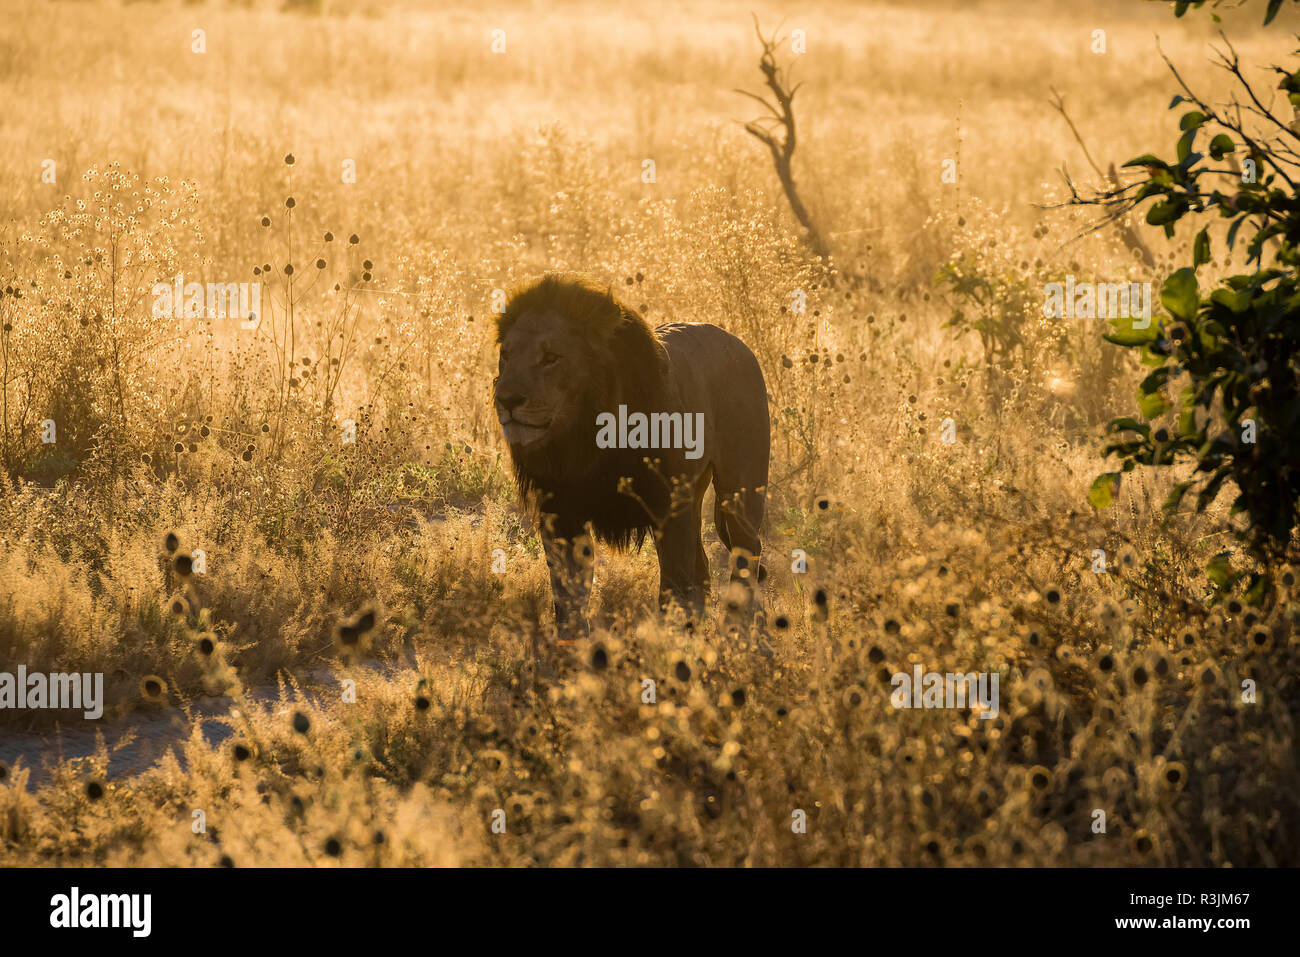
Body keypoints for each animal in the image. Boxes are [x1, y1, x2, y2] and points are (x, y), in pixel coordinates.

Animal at [492, 273, 770, 637]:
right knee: (703, 561)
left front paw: (668, 640)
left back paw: (741, 628)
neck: (584, 436)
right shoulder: (561, 513)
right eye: (506, 356)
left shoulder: (668, 507)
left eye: (551, 358)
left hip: (740, 489)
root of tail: (736, 342)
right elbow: (568, 593)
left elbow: (674, 583)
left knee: (745, 552)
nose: (507, 399)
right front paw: (571, 645)